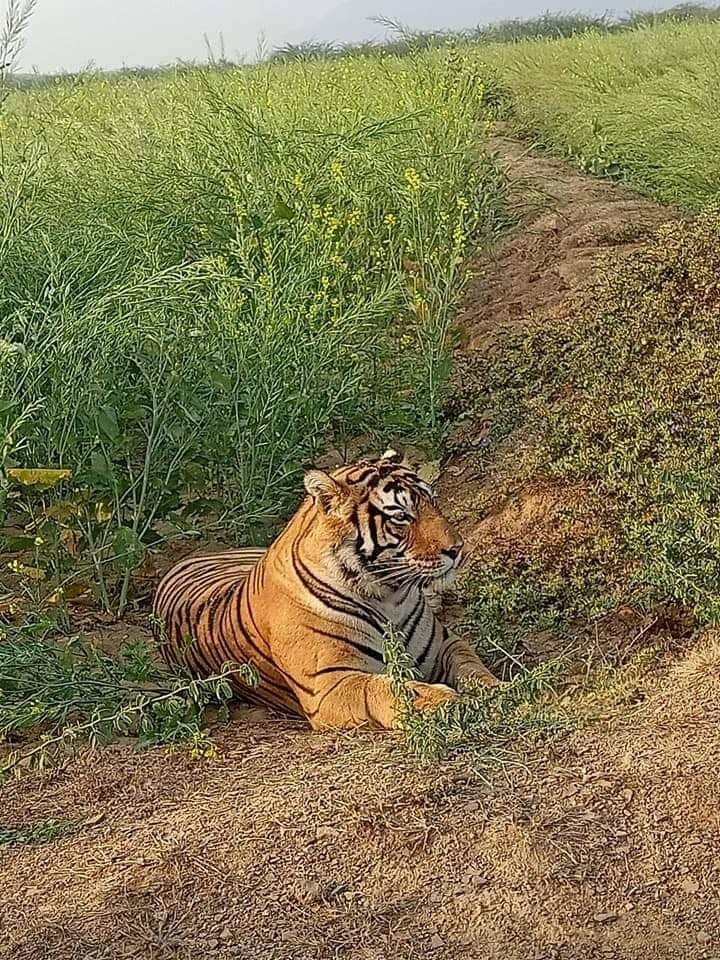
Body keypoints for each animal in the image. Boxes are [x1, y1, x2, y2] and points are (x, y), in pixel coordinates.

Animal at [153, 449, 499, 730]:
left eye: (434, 501)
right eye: (401, 516)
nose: (457, 548)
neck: (389, 596)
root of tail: (189, 557)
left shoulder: (445, 645)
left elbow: (472, 668)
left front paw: (499, 689)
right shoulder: (331, 683)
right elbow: (389, 688)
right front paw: (444, 702)